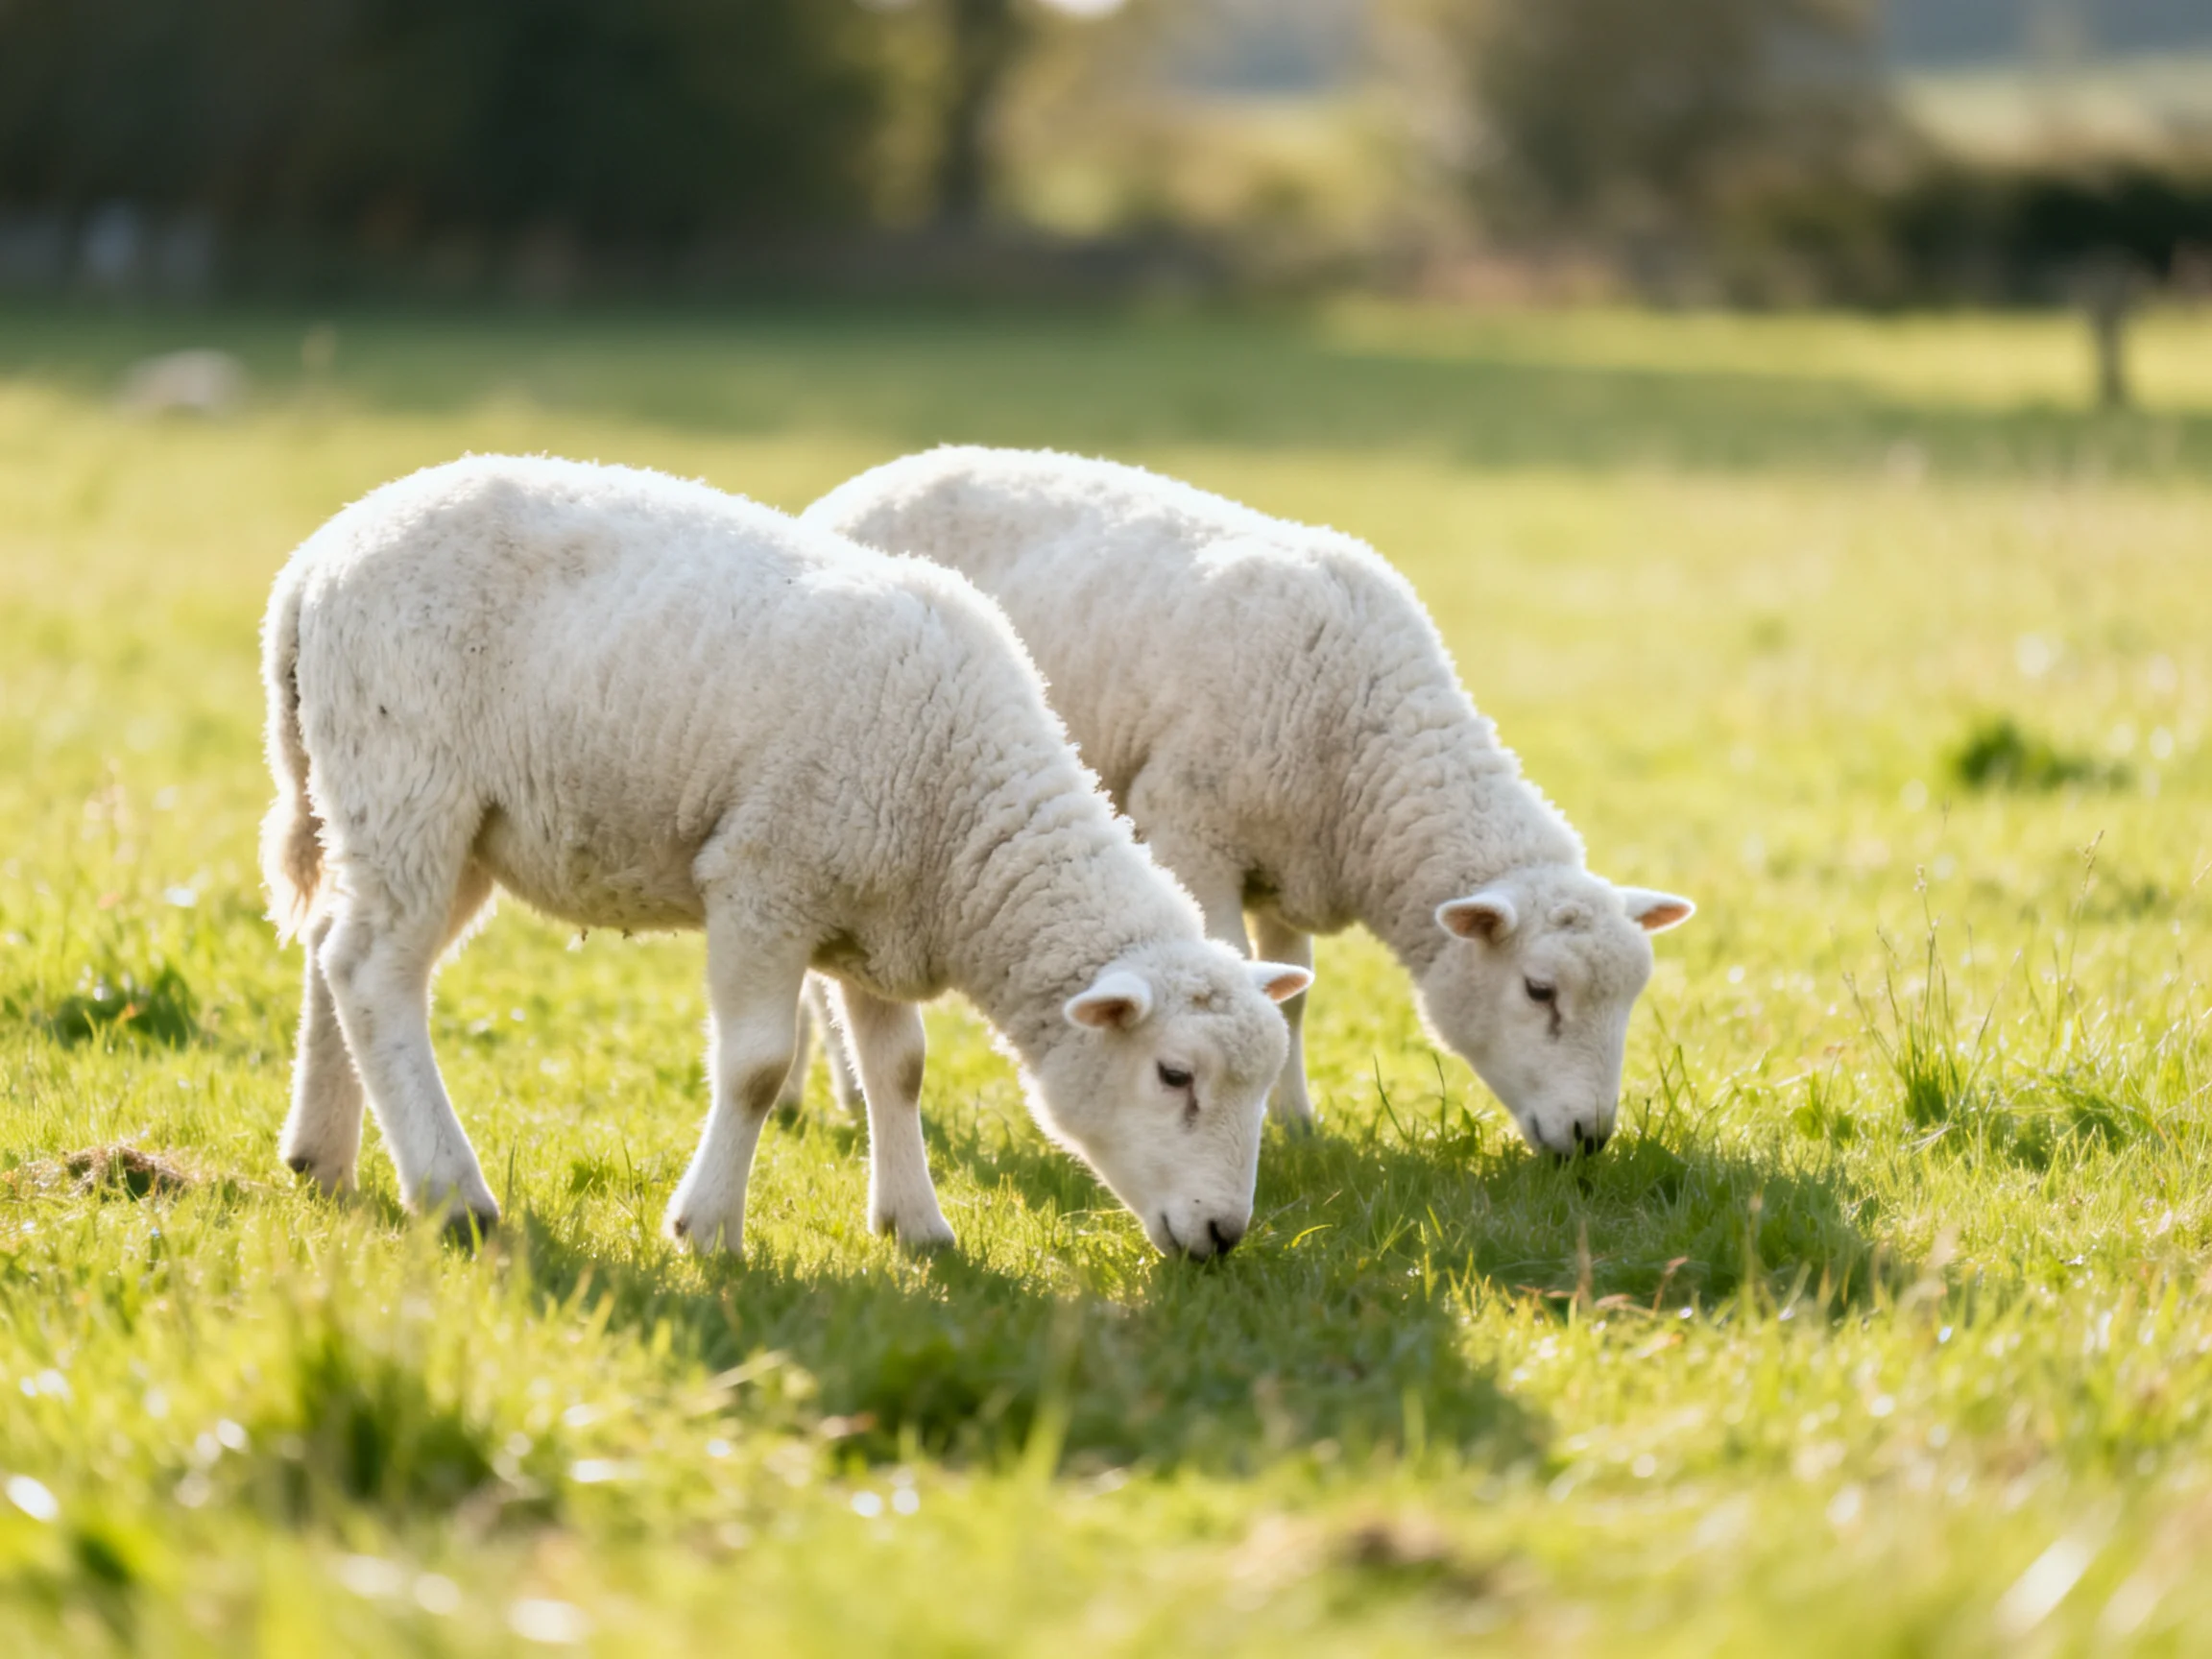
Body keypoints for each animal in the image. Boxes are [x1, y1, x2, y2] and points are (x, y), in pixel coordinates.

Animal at [259, 454, 1310, 1257]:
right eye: (1174, 1075)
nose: (1224, 1236)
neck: (962, 815)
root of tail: (316, 560)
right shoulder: (766, 879)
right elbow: (759, 1069)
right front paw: (708, 1228)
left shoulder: (878, 912)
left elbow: (900, 1069)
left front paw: (917, 1226)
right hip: (410, 780)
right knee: (375, 971)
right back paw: (451, 1194)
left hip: (420, 817)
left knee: (336, 951)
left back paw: (321, 1156)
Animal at [803, 447, 1692, 1157]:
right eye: (1540, 991)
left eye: (1631, 999)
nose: (1590, 1139)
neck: (1362, 726)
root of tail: (863, 482)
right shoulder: (1194, 832)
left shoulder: (1291, 863)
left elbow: (1290, 1001)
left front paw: (1295, 1125)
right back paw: (836, 1095)